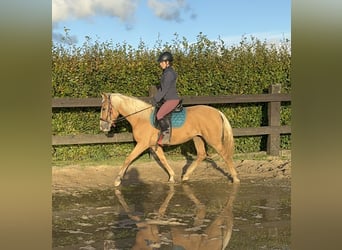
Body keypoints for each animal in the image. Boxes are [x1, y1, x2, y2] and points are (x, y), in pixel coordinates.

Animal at [99, 92, 240, 186]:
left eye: (104, 108)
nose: (102, 126)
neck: (141, 118)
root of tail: (217, 112)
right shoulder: (153, 145)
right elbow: (163, 159)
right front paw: (172, 177)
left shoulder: (142, 144)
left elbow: (129, 158)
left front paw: (118, 180)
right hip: (198, 138)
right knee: (201, 154)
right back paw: (186, 176)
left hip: (213, 140)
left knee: (225, 155)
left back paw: (235, 178)